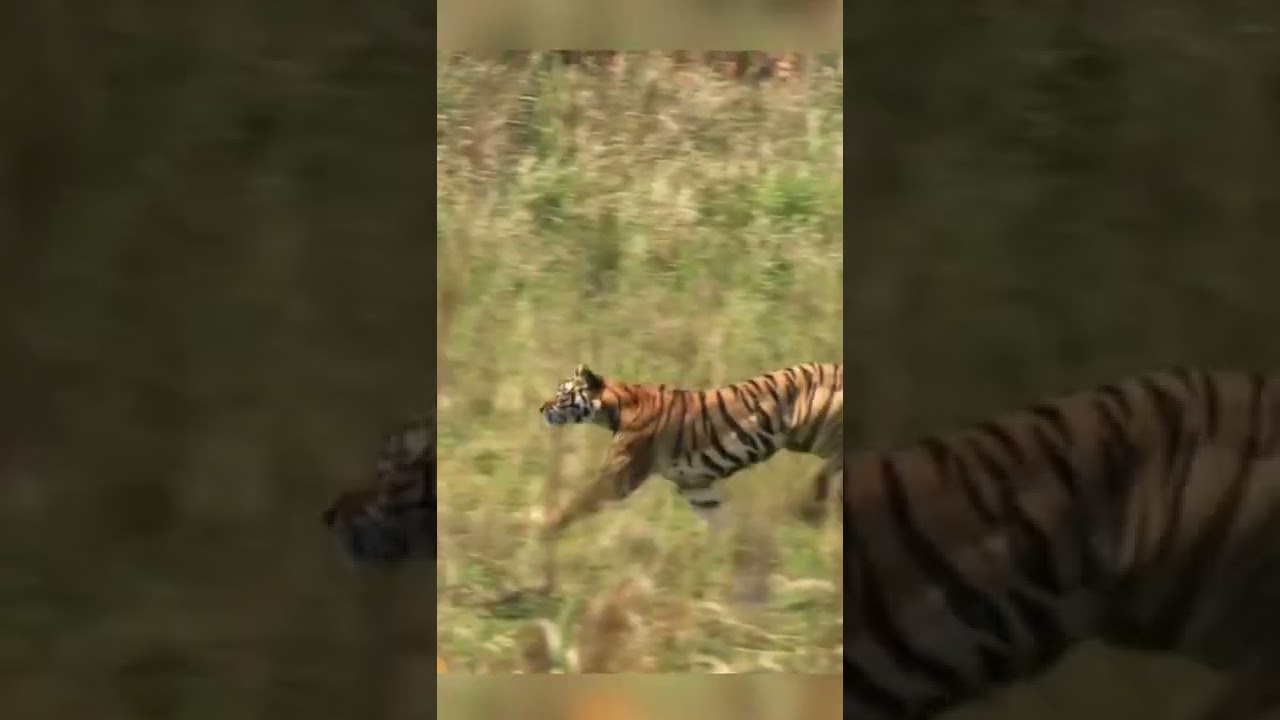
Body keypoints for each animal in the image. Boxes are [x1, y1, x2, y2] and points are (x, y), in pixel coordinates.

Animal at [536, 362, 843, 538]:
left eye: (562, 394)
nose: (541, 408)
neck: (614, 408)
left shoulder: (621, 474)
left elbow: (578, 502)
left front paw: (544, 528)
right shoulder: (697, 485)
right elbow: (718, 520)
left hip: (817, 434)